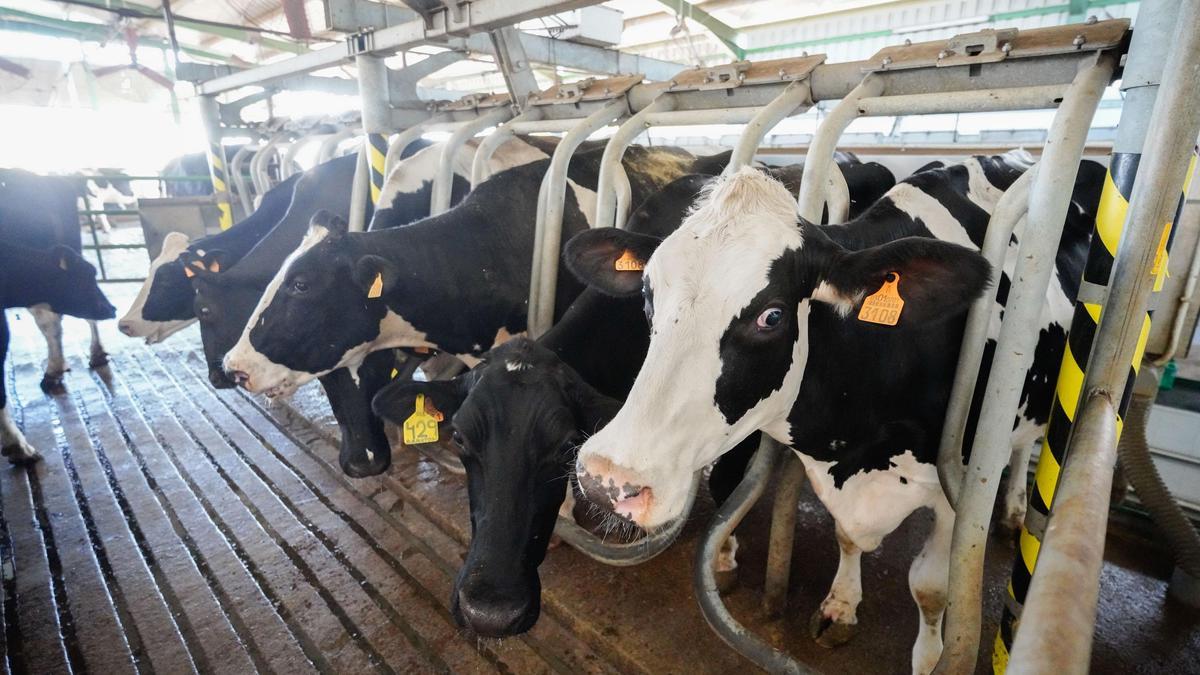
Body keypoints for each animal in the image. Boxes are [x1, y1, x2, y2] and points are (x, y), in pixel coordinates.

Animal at [566, 153, 1099, 672]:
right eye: (647, 298)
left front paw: (931, 659)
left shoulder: (957, 489)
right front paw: (841, 605)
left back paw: (1014, 510)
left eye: (772, 316)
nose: (609, 478)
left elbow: (931, 587)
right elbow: (846, 538)